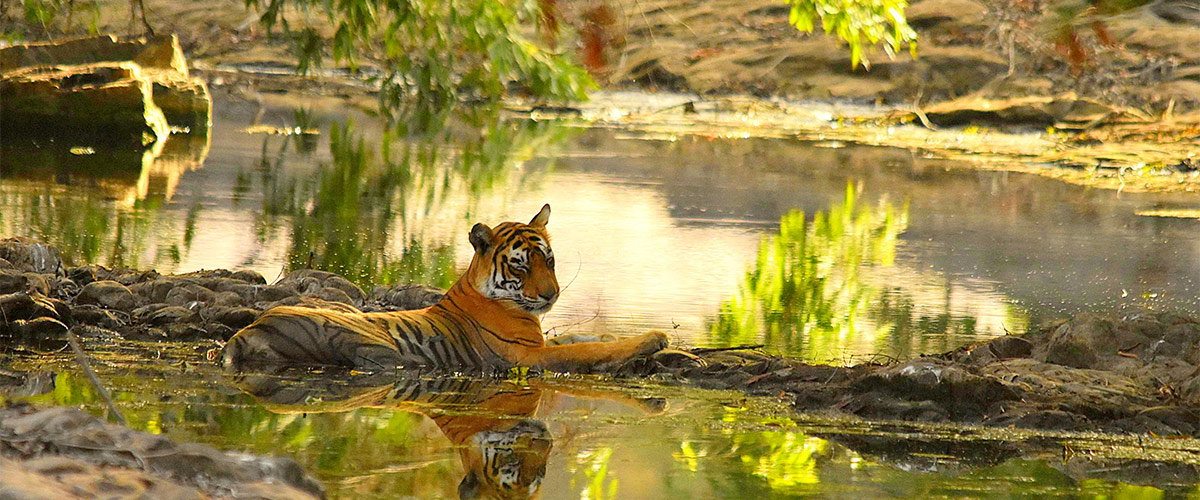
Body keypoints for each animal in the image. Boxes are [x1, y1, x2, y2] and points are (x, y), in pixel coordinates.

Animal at [221, 204, 669, 372]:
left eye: (550, 260)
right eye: (521, 265)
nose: (550, 295)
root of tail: (249, 329)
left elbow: (586, 338)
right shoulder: (528, 357)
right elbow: (589, 350)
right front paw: (653, 339)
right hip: (375, 345)